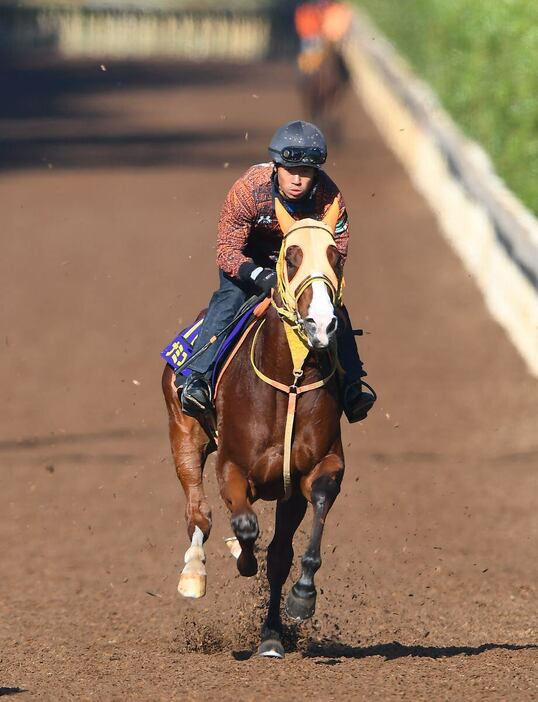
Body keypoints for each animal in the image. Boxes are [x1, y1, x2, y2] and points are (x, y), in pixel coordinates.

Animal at [160, 198, 344, 660]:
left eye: (336, 256)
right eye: (291, 257)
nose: (321, 324)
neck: (290, 380)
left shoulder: (314, 469)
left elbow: (302, 526)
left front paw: (301, 598)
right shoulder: (232, 466)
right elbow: (244, 526)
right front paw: (242, 559)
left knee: (277, 555)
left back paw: (272, 635)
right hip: (183, 433)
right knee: (198, 512)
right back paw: (194, 573)